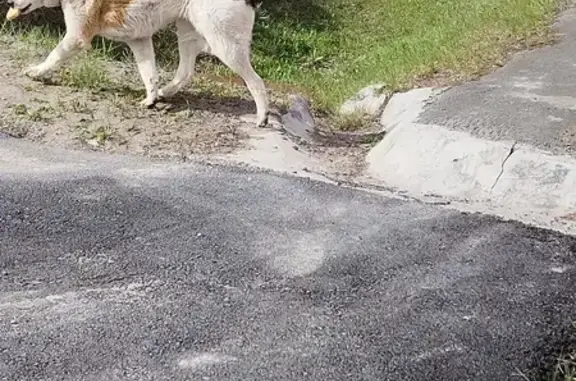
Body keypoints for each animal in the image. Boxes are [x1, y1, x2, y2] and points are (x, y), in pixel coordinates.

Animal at [5, 0, 270, 126]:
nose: (8, 3)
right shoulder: (139, 40)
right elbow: (149, 74)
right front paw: (151, 99)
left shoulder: (76, 38)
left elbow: (53, 56)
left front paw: (36, 71)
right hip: (186, 33)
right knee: (185, 72)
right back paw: (164, 92)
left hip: (224, 44)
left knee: (256, 82)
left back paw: (263, 117)